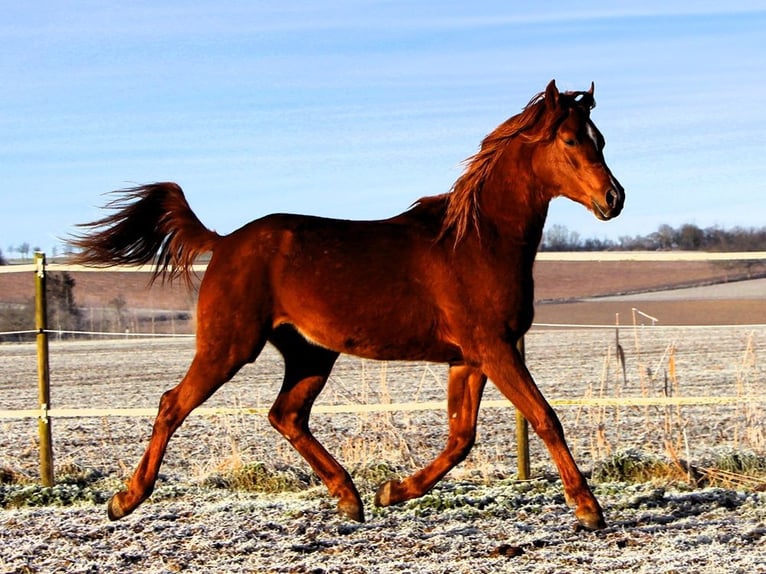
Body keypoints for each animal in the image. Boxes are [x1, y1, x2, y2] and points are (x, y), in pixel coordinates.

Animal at [72, 80, 624, 532]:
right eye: (571, 141)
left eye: (600, 140)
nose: (614, 199)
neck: (478, 241)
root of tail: (224, 241)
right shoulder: (494, 348)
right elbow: (544, 417)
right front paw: (588, 510)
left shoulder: (469, 358)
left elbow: (460, 437)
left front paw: (392, 491)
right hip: (230, 346)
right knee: (173, 404)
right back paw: (125, 500)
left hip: (310, 353)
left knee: (286, 416)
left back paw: (350, 498)